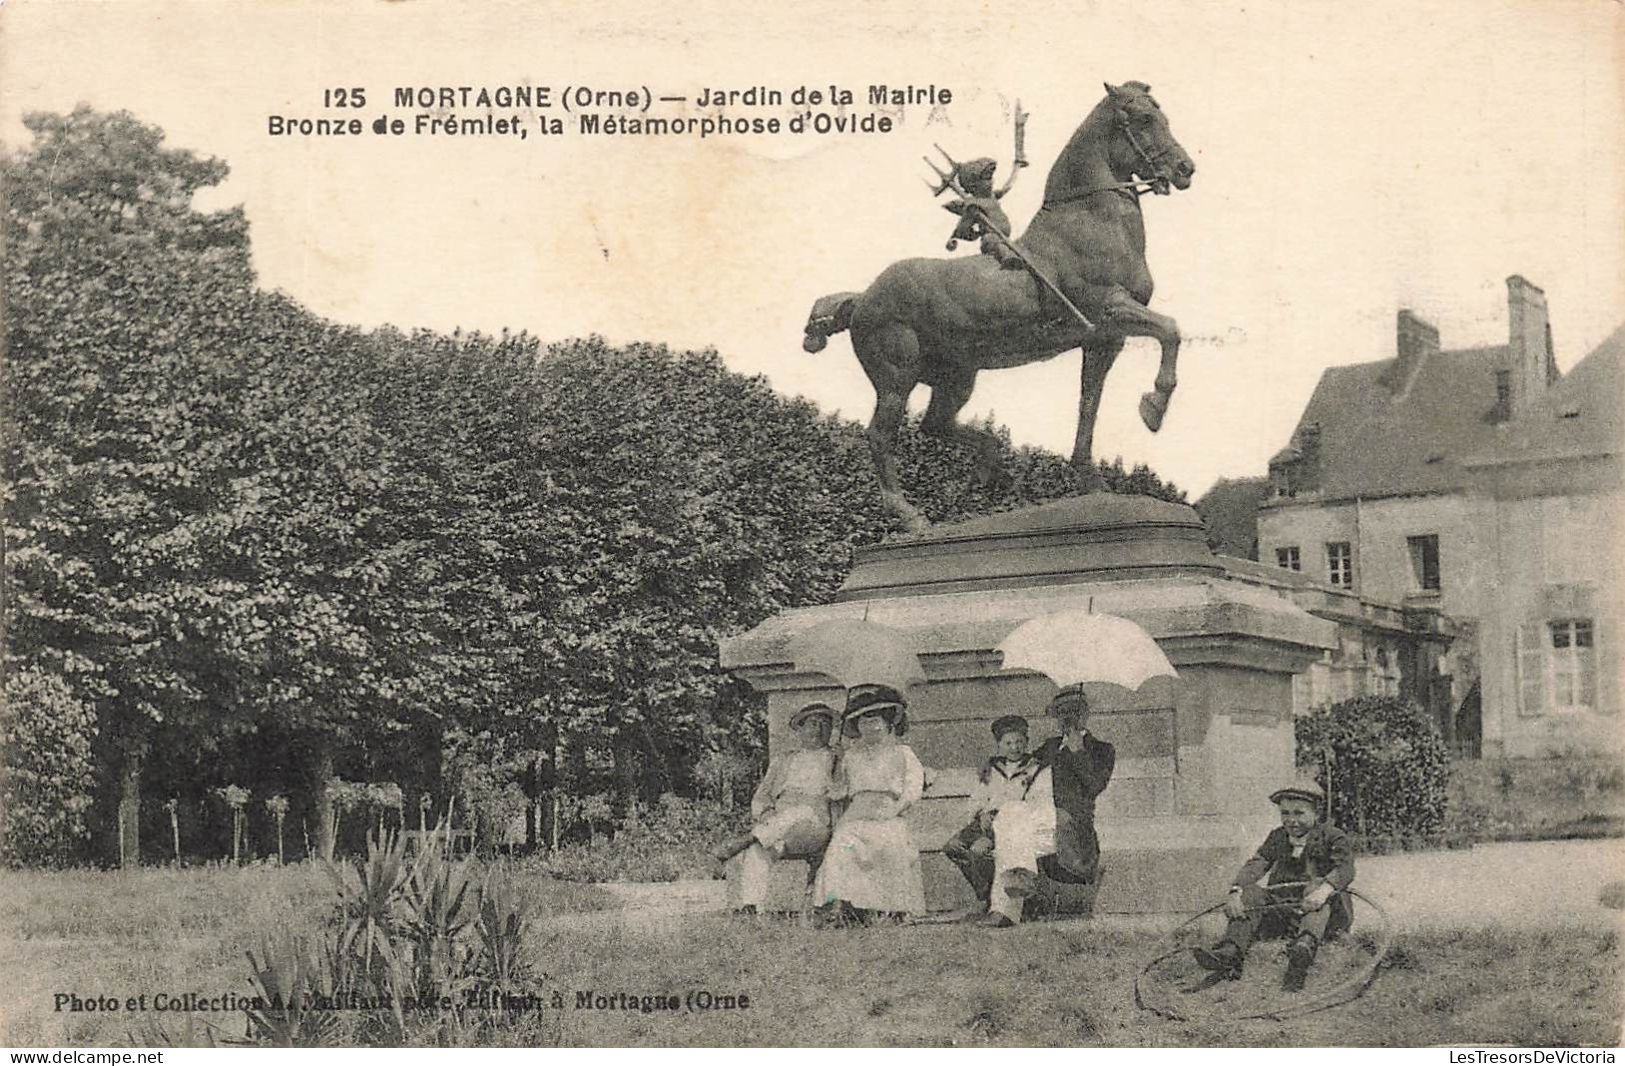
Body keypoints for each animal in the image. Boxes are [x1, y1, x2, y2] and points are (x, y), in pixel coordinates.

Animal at [802, 81, 1196, 529]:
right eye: (1144, 119)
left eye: (1162, 115)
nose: (1185, 169)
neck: (1091, 219)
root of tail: (862, 298)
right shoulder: (1111, 309)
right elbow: (1170, 329)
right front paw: (1153, 408)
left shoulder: (1104, 339)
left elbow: (1089, 403)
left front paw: (1091, 480)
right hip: (896, 377)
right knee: (881, 435)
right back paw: (912, 517)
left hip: (956, 376)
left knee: (935, 425)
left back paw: (994, 471)